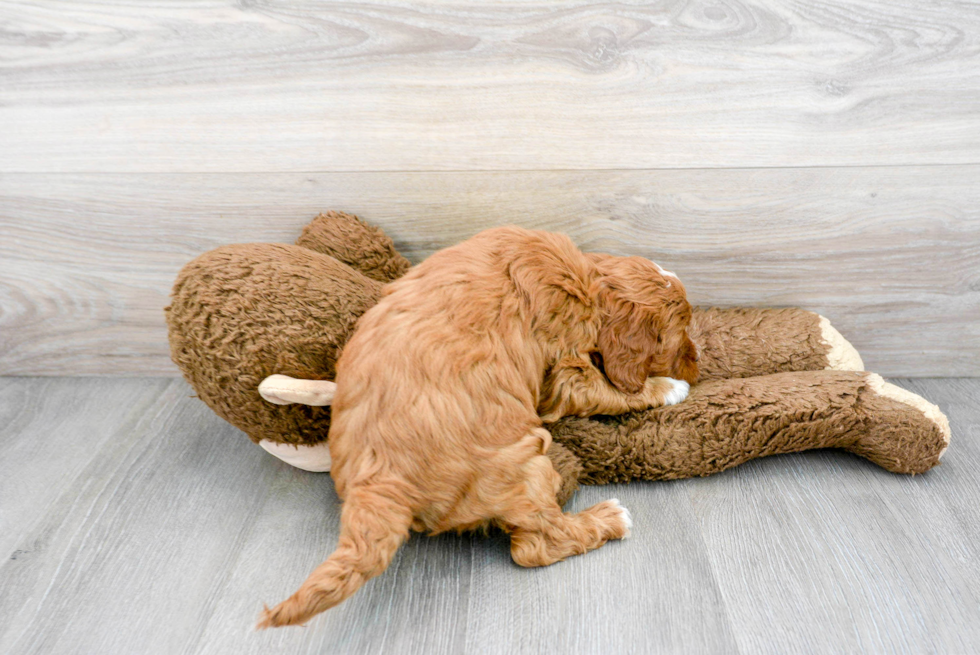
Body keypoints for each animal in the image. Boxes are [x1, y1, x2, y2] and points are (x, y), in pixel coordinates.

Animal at [256, 227, 700, 632]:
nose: (698, 365)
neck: (587, 278)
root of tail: (379, 481)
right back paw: (610, 518)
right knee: (535, 546)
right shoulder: (567, 367)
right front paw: (671, 387)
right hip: (525, 465)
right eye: (680, 337)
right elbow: (612, 390)